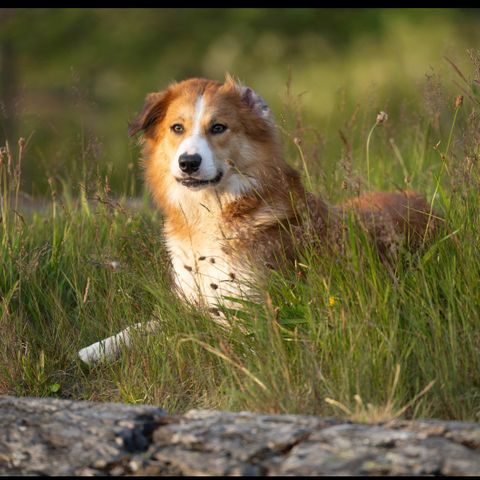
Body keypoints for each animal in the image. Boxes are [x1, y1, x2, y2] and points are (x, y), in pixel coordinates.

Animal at [78, 75, 436, 364]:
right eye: (176, 128)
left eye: (218, 127)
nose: (188, 162)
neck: (211, 214)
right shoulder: (191, 301)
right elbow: (148, 324)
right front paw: (100, 348)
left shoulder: (253, 316)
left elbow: (186, 333)